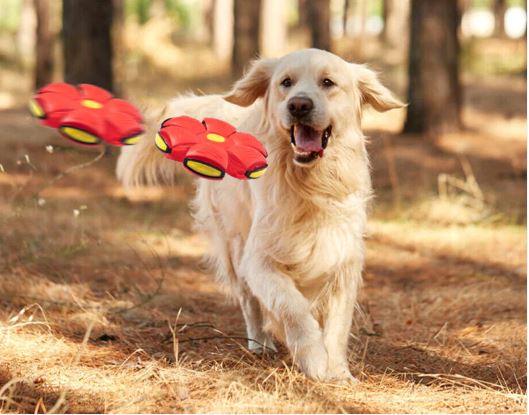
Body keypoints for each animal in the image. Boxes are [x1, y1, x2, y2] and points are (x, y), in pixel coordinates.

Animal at [117, 48, 402, 380]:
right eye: (286, 82)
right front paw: (314, 359)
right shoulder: (259, 259)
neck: (309, 184)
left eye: (328, 82)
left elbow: (338, 325)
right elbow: (292, 306)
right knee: (248, 300)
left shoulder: (343, 258)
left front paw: (338, 371)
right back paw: (260, 343)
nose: (299, 105)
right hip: (234, 244)